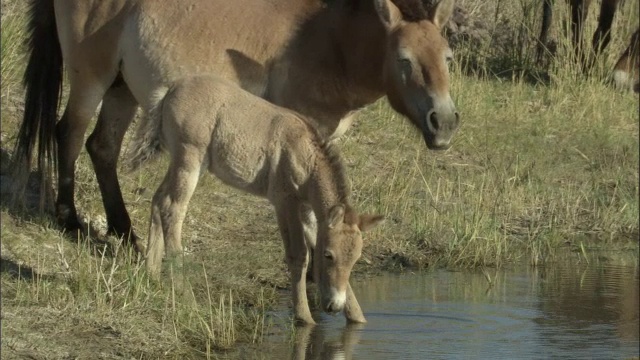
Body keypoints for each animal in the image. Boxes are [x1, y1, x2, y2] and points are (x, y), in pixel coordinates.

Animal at [11, 0, 460, 248]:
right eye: (404, 60)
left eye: (447, 57)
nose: (444, 123)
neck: (329, 40)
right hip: (93, 78)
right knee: (68, 135)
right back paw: (69, 219)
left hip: (123, 88)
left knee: (102, 147)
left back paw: (124, 231)